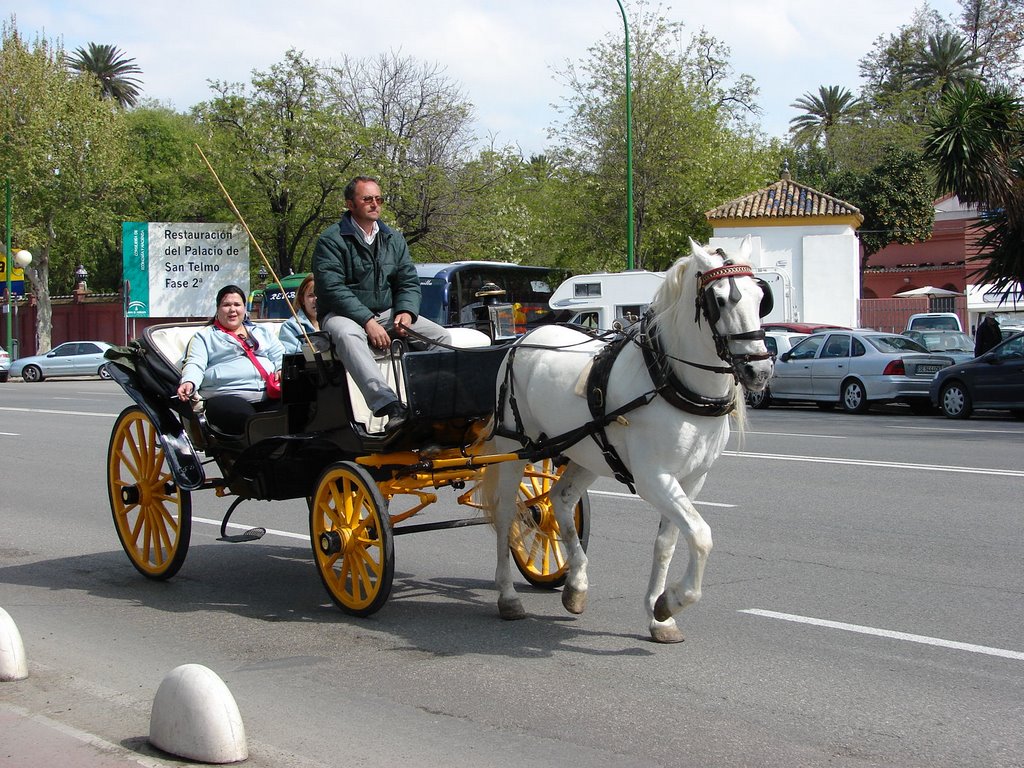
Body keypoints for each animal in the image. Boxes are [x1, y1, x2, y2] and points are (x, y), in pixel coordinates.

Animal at [483, 239, 770, 643]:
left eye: (761, 297)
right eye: (719, 299)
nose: (759, 368)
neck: (668, 381)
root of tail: (521, 340)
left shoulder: (692, 479)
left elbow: (668, 542)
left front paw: (660, 614)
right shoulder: (654, 479)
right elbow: (701, 535)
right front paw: (673, 600)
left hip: (586, 453)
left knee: (559, 501)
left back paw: (576, 584)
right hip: (513, 449)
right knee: (508, 513)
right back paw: (508, 596)